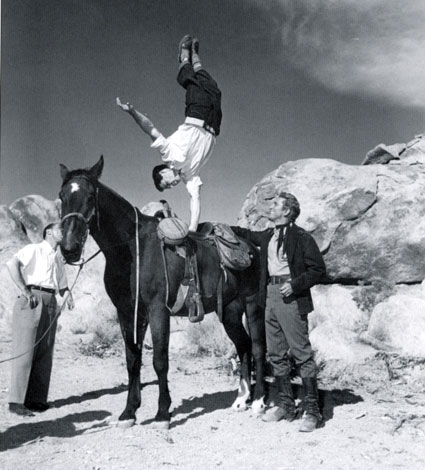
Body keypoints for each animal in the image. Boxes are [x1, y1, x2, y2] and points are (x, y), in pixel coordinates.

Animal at [58, 157, 264, 430]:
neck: (134, 249)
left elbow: (159, 361)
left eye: (91, 195)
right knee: (244, 345)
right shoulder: (128, 313)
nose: (69, 248)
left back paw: (259, 401)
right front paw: (129, 412)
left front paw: (163, 413)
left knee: (258, 347)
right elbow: (132, 361)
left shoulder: (158, 311)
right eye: (61, 196)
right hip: (230, 311)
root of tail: (251, 248)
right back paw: (242, 399)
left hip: (253, 304)